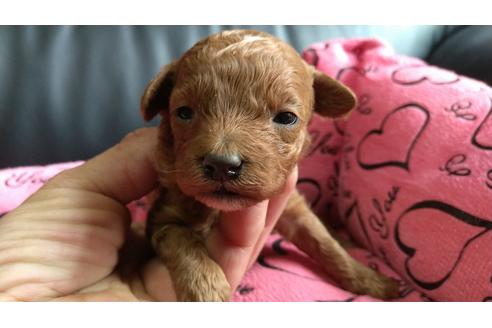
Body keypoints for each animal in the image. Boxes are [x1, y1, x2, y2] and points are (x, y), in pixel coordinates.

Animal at [139, 29, 400, 302]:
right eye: (184, 113)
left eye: (286, 118)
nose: (221, 165)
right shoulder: (162, 217)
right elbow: (183, 241)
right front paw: (207, 290)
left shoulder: (293, 207)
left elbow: (325, 243)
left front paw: (372, 280)